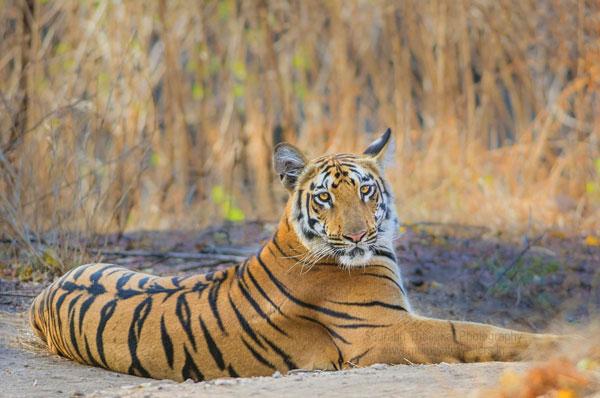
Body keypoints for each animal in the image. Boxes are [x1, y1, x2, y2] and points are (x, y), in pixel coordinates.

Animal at [28, 129, 564, 380]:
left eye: (366, 190)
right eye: (324, 197)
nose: (357, 237)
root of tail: (42, 293)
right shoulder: (384, 331)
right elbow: (476, 331)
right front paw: (561, 345)